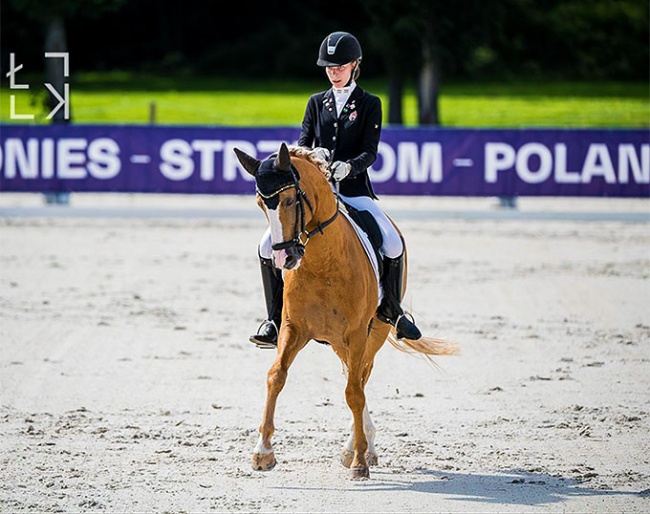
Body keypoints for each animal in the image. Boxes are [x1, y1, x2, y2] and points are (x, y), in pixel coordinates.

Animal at [234, 142, 457, 479]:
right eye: (261, 203)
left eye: (289, 199)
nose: (284, 258)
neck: (322, 261)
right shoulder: (293, 328)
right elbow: (276, 376)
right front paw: (263, 452)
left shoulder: (356, 332)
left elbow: (353, 392)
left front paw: (360, 461)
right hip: (339, 341)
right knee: (355, 377)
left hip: (372, 333)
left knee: (360, 380)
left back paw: (360, 447)